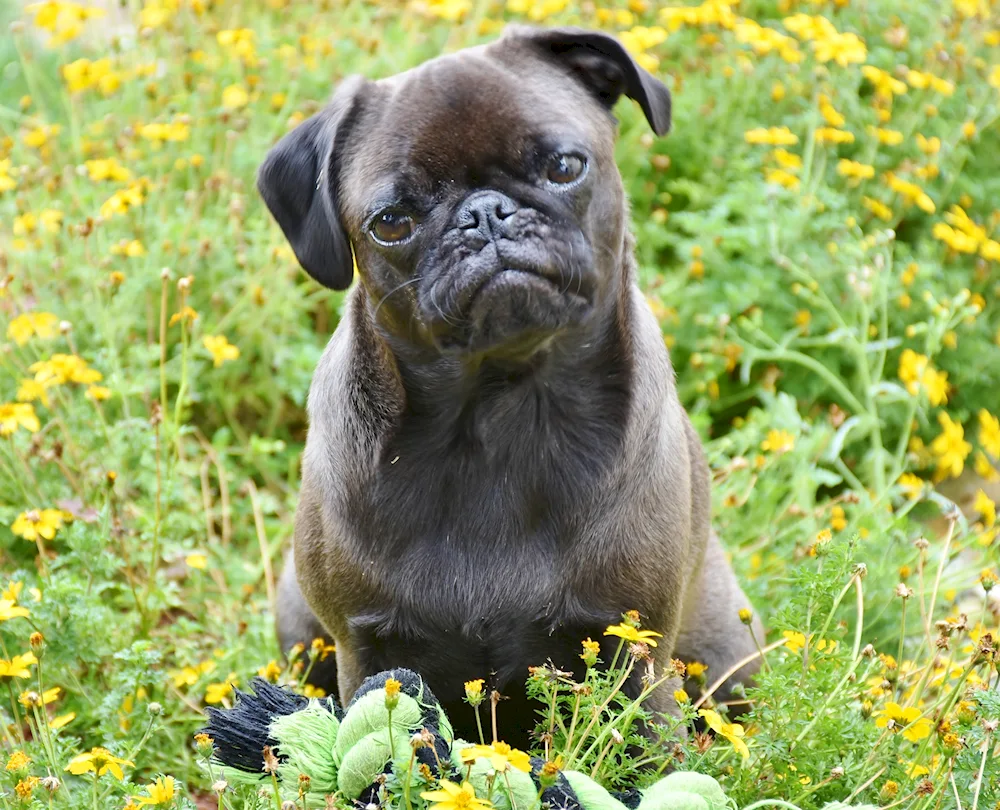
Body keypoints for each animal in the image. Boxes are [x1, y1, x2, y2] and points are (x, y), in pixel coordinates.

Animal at [262, 25, 760, 744]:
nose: (485, 214)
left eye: (565, 167)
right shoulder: (369, 650)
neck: (498, 410)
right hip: (300, 629)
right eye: (391, 222)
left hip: (726, 655)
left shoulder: (635, 652)